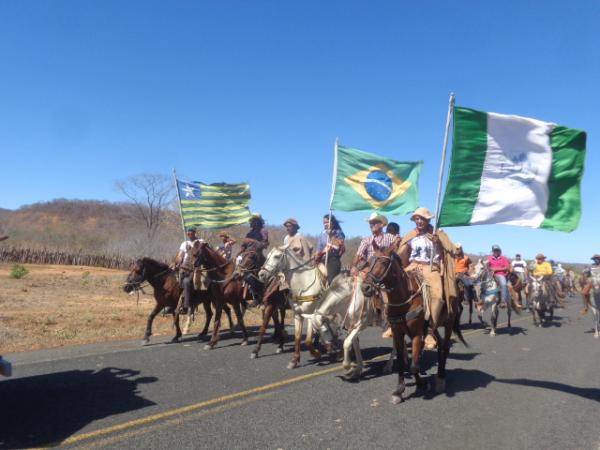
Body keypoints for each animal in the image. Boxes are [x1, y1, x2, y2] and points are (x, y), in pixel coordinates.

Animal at [360, 243, 468, 404]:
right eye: (369, 261)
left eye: (384, 262)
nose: (365, 288)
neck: (404, 298)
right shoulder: (399, 333)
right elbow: (404, 362)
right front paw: (399, 390)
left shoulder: (417, 334)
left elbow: (413, 366)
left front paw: (422, 384)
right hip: (432, 326)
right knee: (440, 344)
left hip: (449, 323)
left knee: (446, 347)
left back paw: (441, 378)